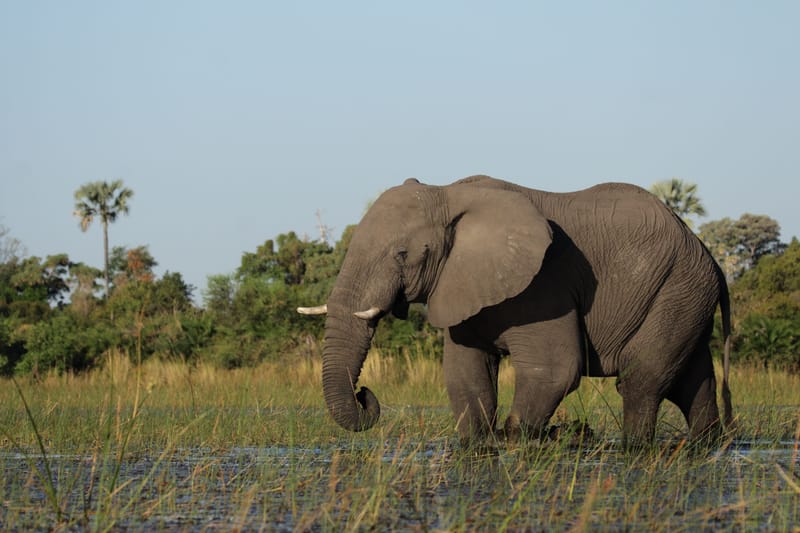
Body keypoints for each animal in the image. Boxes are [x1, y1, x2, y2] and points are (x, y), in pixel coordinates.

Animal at [298, 175, 733, 447]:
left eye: (402, 254)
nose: (364, 393)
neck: (449, 194)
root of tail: (707, 252)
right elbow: (466, 376)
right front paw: (478, 446)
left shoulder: (545, 281)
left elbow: (553, 370)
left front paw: (518, 442)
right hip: (684, 293)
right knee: (692, 381)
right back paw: (706, 445)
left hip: (677, 286)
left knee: (641, 380)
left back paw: (635, 448)